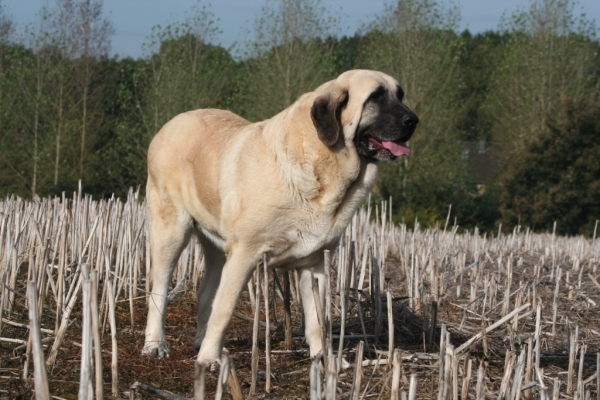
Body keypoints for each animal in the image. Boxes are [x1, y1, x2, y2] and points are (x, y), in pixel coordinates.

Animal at [143, 69, 420, 366]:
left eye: (400, 95)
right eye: (375, 97)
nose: (413, 120)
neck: (323, 165)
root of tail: (170, 123)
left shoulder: (314, 264)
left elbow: (317, 320)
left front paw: (324, 359)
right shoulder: (244, 254)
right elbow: (225, 310)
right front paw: (208, 360)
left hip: (216, 246)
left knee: (206, 292)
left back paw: (200, 341)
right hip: (172, 231)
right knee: (160, 289)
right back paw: (156, 345)